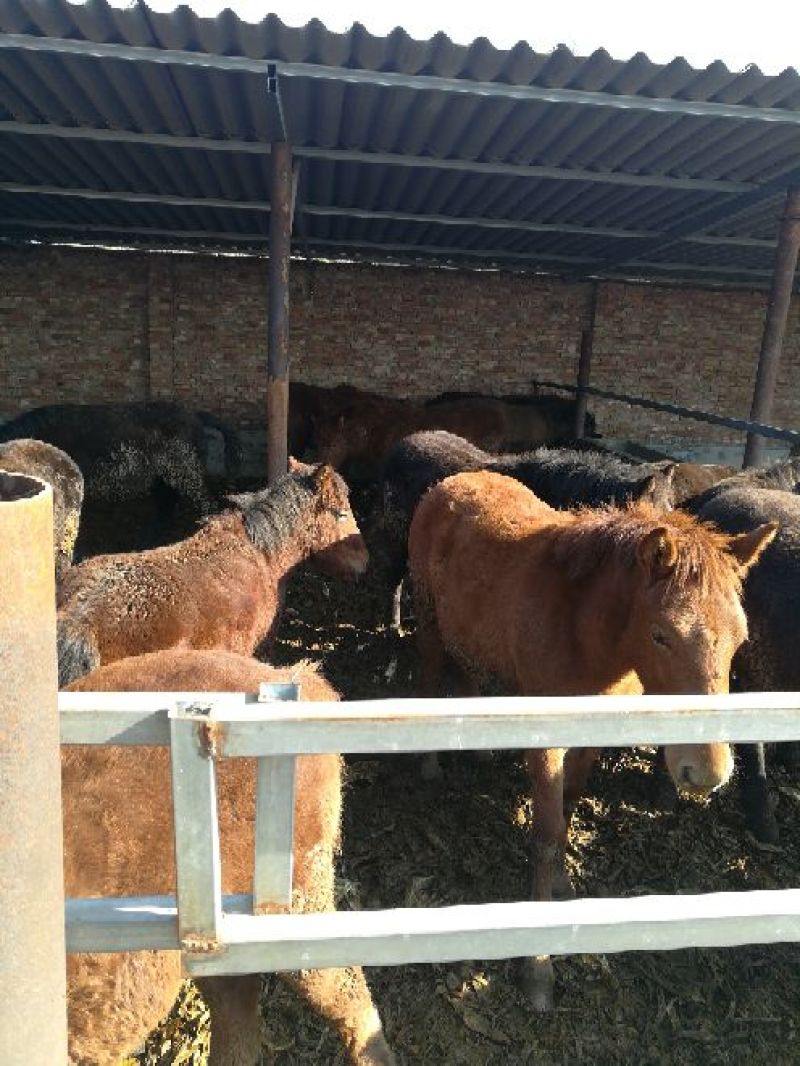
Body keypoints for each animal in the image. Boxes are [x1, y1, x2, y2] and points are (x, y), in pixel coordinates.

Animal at [407, 469, 776, 1010]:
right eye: (662, 635)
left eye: (740, 639)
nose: (705, 772)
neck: (584, 630)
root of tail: (455, 479)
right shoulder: (547, 744)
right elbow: (545, 836)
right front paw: (538, 970)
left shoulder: (594, 732)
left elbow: (570, 804)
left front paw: (563, 883)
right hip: (429, 616)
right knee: (434, 666)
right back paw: (430, 763)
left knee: (467, 666)